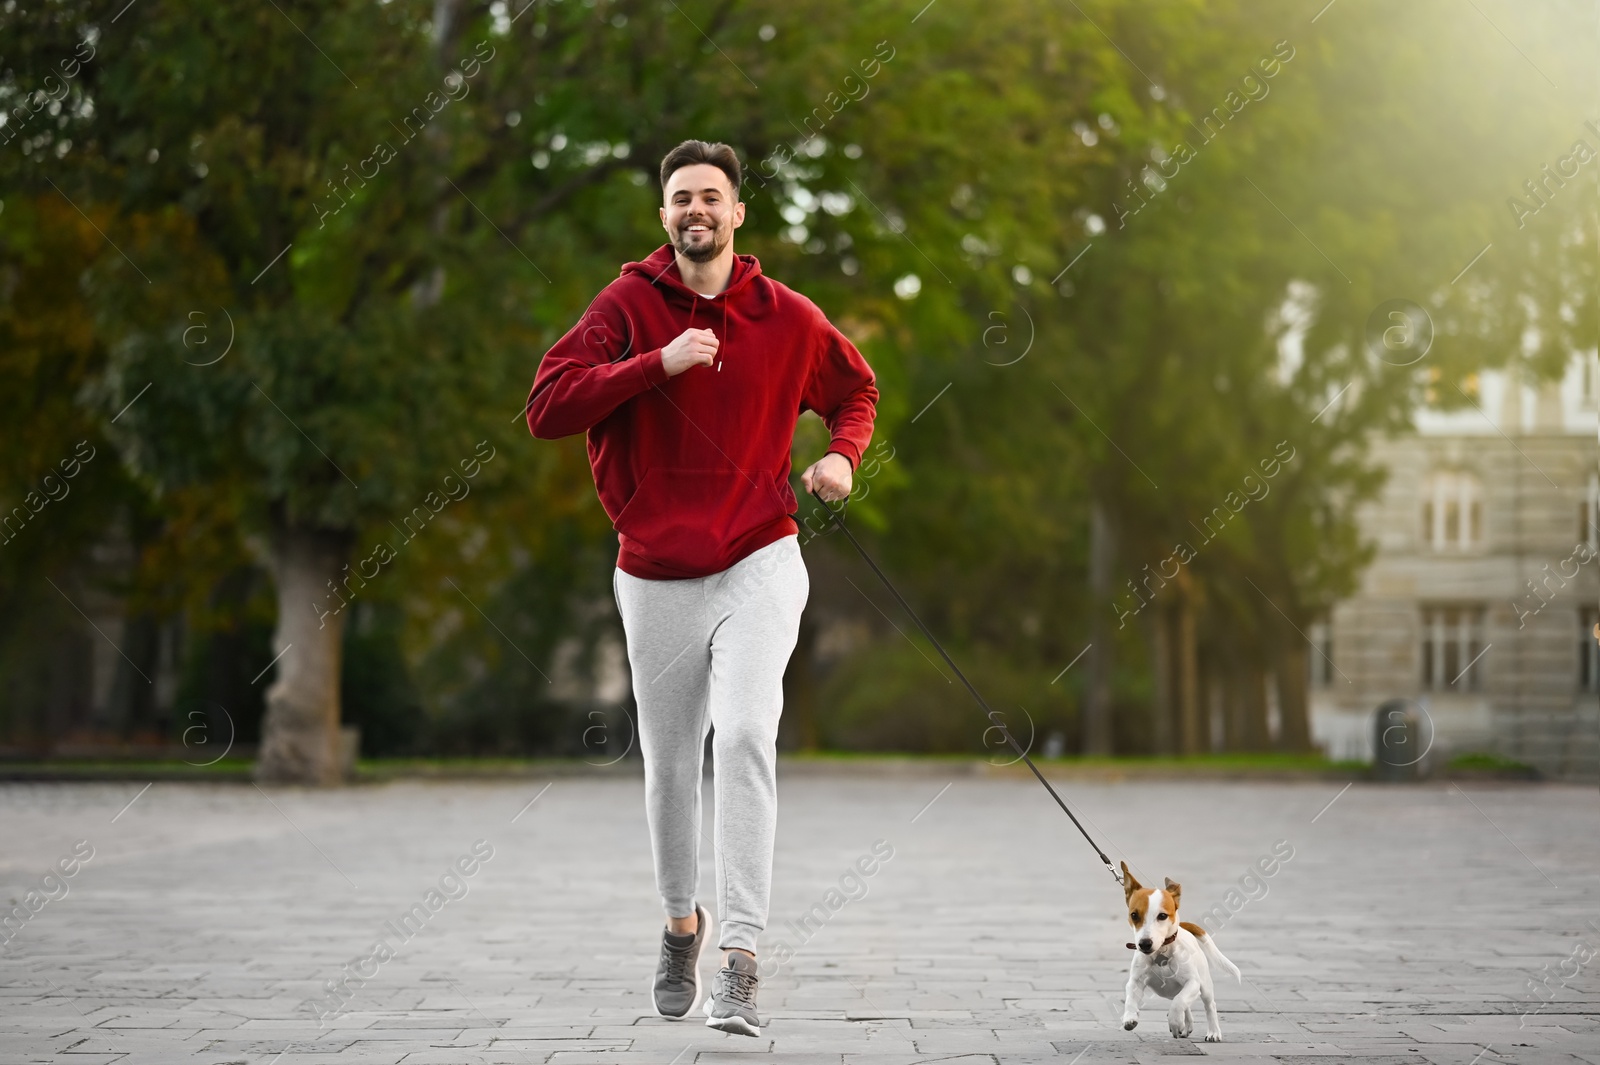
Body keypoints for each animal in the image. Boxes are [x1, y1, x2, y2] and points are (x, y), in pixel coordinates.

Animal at [1120, 857, 1241, 1042]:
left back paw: (1213, 1032)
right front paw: (1129, 1017)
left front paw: (1176, 1022)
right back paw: (1187, 1026)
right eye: (1134, 915)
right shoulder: (1136, 981)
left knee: (1208, 1005)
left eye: (1162, 916)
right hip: (1169, 991)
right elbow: (1130, 999)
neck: (1162, 951)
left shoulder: (1193, 982)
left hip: (1204, 986)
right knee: (1184, 1003)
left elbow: (1179, 1002)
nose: (1145, 943)